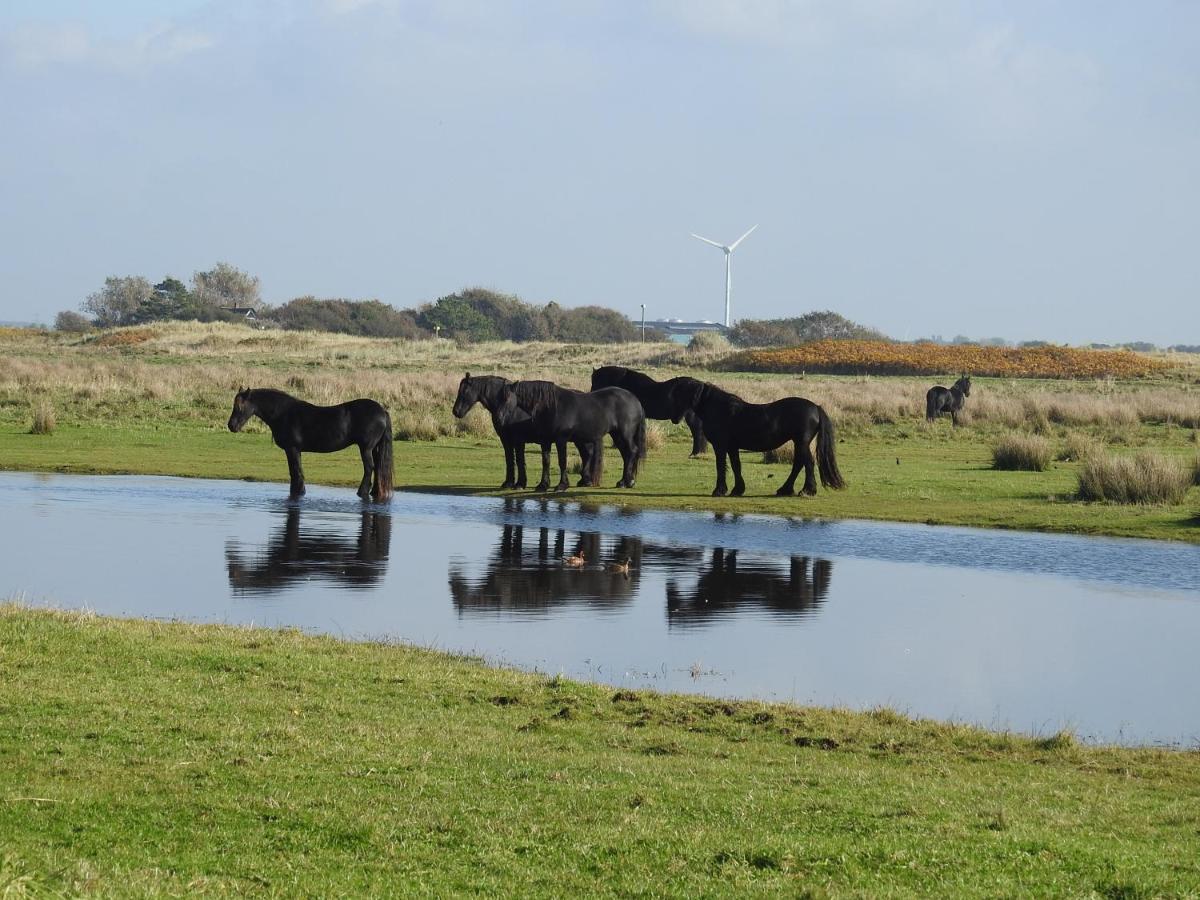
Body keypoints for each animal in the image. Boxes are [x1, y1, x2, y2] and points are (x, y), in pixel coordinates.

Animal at [225, 386, 393, 504]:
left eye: (239, 406)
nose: (231, 426)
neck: (283, 413)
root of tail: (382, 411)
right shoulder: (295, 450)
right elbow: (296, 472)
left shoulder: (292, 449)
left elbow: (295, 472)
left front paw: (298, 492)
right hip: (375, 448)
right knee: (378, 468)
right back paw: (375, 493)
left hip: (366, 448)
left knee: (369, 468)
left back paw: (362, 492)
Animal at [451, 374, 597, 494]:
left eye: (464, 391)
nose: (456, 411)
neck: (515, 411)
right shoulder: (506, 439)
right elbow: (509, 460)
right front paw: (508, 483)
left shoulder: (518, 440)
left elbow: (520, 460)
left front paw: (520, 484)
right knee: (586, 455)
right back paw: (584, 480)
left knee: (588, 454)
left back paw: (586, 480)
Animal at [494, 381, 648, 494]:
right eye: (497, 398)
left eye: (507, 398)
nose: (498, 418)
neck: (551, 406)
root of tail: (635, 400)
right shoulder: (545, 441)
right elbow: (546, 461)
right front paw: (543, 485)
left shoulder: (561, 440)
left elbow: (562, 462)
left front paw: (562, 485)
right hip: (616, 435)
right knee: (626, 454)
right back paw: (624, 481)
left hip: (625, 434)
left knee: (632, 451)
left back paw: (627, 482)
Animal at [662, 376, 849, 496]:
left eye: (680, 393)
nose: (673, 417)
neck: (718, 408)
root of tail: (816, 407)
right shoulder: (732, 447)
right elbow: (736, 466)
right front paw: (737, 490)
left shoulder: (720, 446)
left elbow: (721, 466)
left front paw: (719, 490)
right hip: (798, 443)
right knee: (798, 465)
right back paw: (785, 490)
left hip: (801, 442)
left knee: (807, 463)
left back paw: (807, 491)